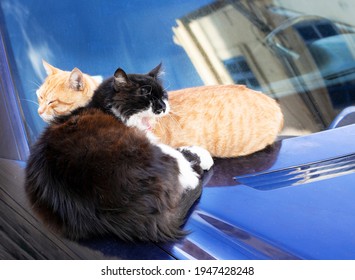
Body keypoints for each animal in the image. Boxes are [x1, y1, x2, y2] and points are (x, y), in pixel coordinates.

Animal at [26, 64, 214, 243]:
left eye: (163, 96)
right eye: (145, 94)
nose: (163, 106)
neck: (105, 108)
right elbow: (179, 153)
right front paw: (203, 156)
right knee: (186, 173)